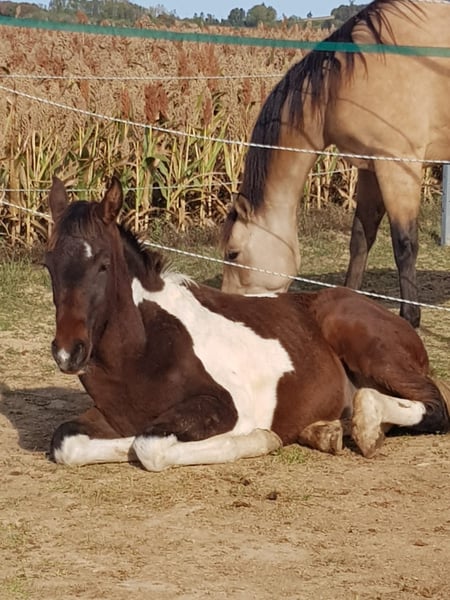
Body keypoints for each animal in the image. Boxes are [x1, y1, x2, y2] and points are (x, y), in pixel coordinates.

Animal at [43, 176, 449, 470]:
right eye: (48, 265)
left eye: (103, 265)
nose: (67, 353)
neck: (142, 351)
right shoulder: (109, 416)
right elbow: (66, 442)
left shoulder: (224, 403)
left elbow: (149, 445)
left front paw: (258, 438)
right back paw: (328, 431)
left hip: (367, 347)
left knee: (434, 406)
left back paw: (364, 427)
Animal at [221, 0, 450, 328]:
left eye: (233, 253)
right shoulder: (370, 168)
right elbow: (360, 239)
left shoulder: (398, 166)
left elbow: (404, 244)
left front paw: (409, 319)